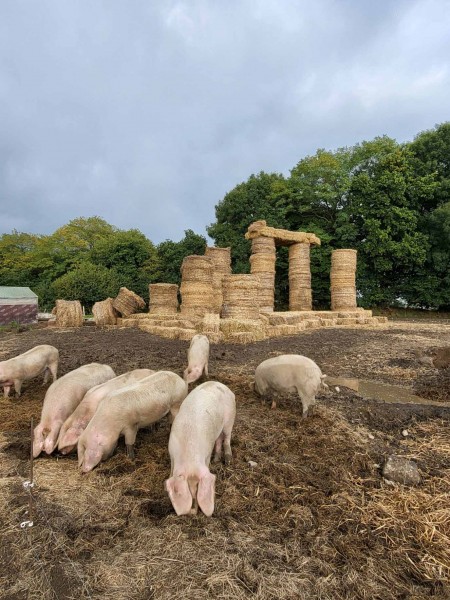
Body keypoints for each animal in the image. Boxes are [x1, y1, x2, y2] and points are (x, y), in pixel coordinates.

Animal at [165, 382, 236, 516]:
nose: (194, 510)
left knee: (227, 438)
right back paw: (216, 460)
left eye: (198, 486)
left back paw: (228, 460)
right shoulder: (171, 452)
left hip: (230, 418)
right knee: (219, 439)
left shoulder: (206, 454)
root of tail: (221, 385)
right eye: (188, 486)